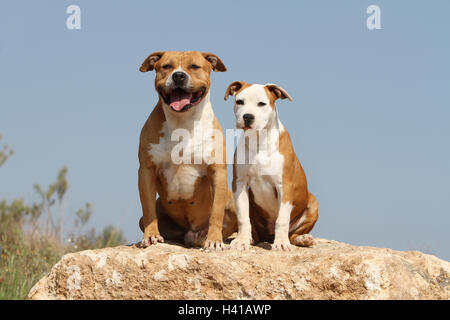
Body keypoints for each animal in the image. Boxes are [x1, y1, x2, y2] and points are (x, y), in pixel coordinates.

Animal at [137, 50, 237, 250]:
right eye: (166, 66)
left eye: (194, 66)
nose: (179, 76)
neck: (182, 121)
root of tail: (190, 233)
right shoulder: (146, 170)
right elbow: (148, 209)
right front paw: (151, 236)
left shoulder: (218, 171)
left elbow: (216, 212)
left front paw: (214, 240)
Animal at [224, 81, 316, 251]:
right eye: (240, 102)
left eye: (262, 103)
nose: (248, 116)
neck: (259, 140)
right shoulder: (239, 183)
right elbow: (243, 217)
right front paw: (241, 241)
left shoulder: (284, 186)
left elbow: (282, 219)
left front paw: (281, 243)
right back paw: (251, 238)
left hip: (313, 203)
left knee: (293, 234)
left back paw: (303, 239)